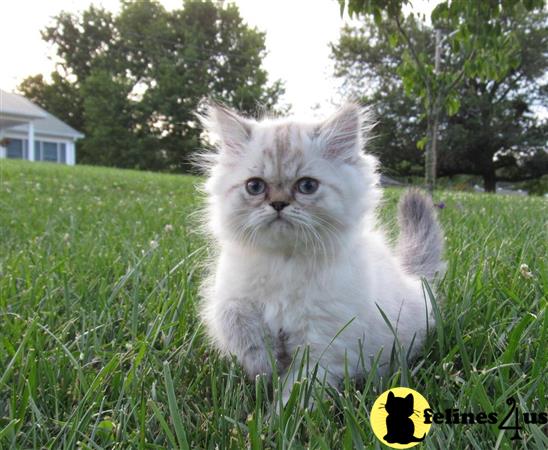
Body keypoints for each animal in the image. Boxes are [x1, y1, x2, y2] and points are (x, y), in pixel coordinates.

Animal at [198, 103, 446, 404]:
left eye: (307, 186)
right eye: (255, 186)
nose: (278, 204)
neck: (284, 261)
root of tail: (411, 278)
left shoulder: (324, 338)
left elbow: (301, 388)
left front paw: (283, 415)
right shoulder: (229, 296)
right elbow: (236, 321)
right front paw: (264, 363)